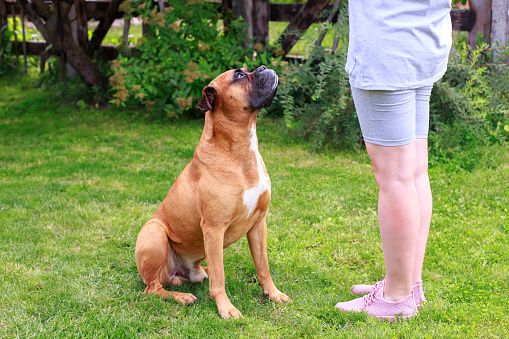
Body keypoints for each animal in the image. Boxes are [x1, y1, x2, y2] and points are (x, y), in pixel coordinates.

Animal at [133, 65, 290, 320]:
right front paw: (226, 308)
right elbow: (220, 280)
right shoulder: (214, 229)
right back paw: (182, 297)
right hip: (154, 231)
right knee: (153, 288)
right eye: (239, 75)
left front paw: (273, 293)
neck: (239, 149)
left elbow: (263, 266)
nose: (263, 67)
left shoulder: (259, 224)